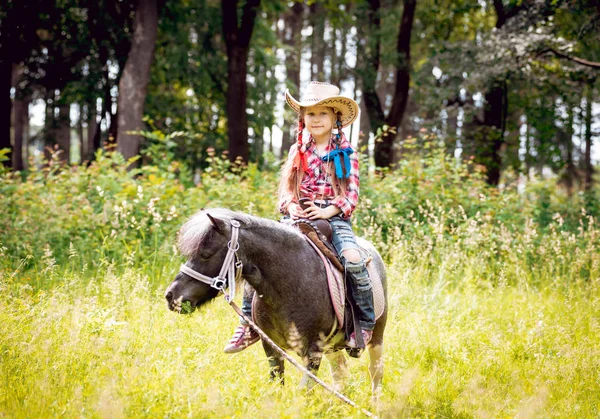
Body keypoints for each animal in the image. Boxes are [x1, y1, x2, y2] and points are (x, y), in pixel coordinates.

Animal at [164, 208, 390, 396]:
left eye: (205, 254)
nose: (171, 295)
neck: (291, 282)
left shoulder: (313, 351)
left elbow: (305, 392)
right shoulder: (272, 348)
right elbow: (276, 385)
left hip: (376, 338)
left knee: (375, 373)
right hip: (333, 347)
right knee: (340, 374)